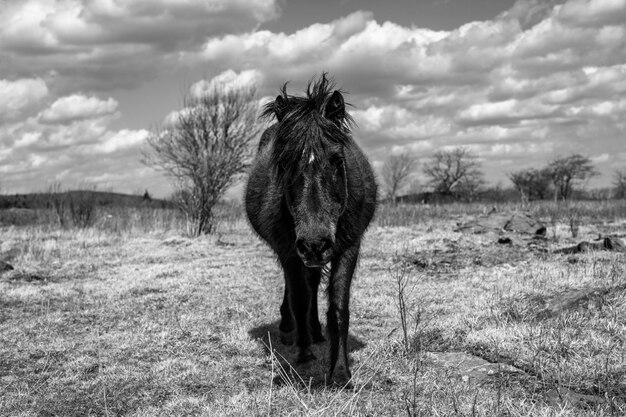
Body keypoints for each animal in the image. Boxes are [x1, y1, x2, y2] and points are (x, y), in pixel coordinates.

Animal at [244, 75, 376, 380]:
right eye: (284, 162)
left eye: (338, 160)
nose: (315, 245)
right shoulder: (290, 252)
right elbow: (299, 298)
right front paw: (304, 355)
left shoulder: (348, 247)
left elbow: (338, 306)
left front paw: (340, 371)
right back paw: (290, 330)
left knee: (313, 282)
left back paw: (316, 332)